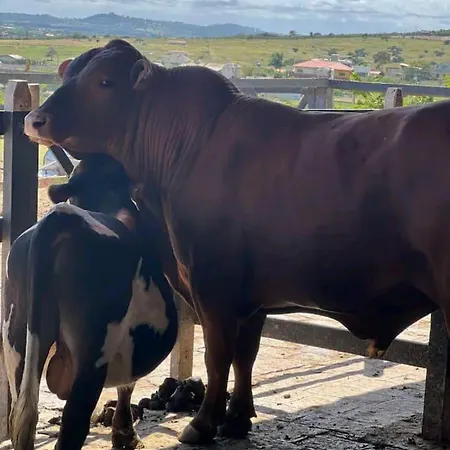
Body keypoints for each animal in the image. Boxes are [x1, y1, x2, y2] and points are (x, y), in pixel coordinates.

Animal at [1, 154, 178, 450]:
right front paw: (125, 435)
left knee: (21, 414)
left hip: (16, 338)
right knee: (72, 425)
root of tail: (63, 217)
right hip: (94, 348)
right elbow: (127, 384)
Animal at [22, 39, 444, 445]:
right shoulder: (252, 297)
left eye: (104, 81)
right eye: (69, 74)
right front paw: (237, 417)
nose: (34, 119)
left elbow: (218, 356)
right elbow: (246, 356)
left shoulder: (214, 287)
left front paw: (203, 423)